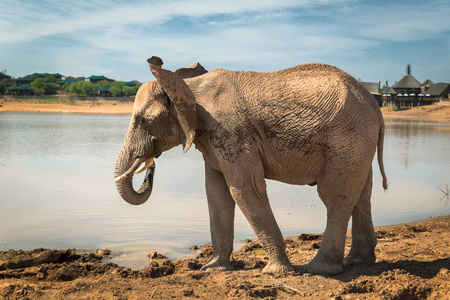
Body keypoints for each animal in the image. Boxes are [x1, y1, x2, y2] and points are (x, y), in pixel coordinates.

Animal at [114, 55, 388, 276]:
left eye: (143, 120)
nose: (151, 166)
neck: (188, 86)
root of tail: (375, 106)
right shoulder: (213, 139)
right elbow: (216, 193)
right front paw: (213, 268)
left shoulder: (230, 131)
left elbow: (244, 189)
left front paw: (277, 272)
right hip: (358, 141)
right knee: (362, 195)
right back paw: (358, 262)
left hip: (348, 138)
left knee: (334, 196)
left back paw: (320, 269)